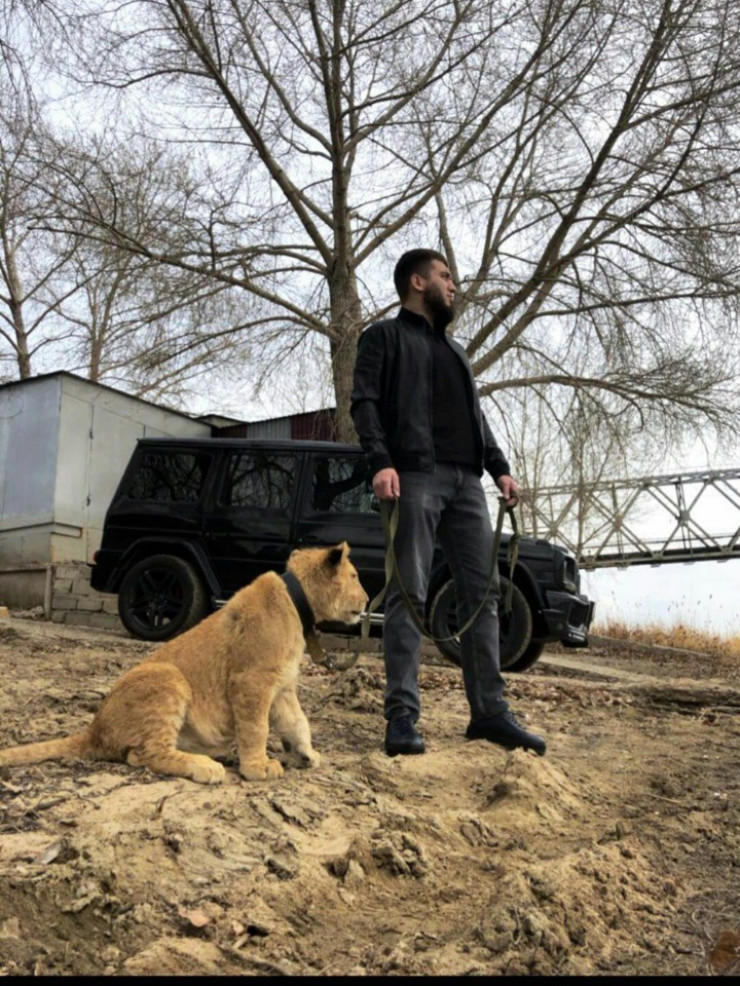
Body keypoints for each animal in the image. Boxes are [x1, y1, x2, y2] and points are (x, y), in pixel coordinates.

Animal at [0, 542, 368, 784]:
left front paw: (307, 755)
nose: (367, 601)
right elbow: (257, 728)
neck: (298, 604)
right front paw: (258, 768)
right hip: (168, 678)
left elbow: (297, 723)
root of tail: (95, 728)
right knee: (145, 753)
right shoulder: (251, 682)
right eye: (354, 576)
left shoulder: (282, 687)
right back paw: (205, 766)